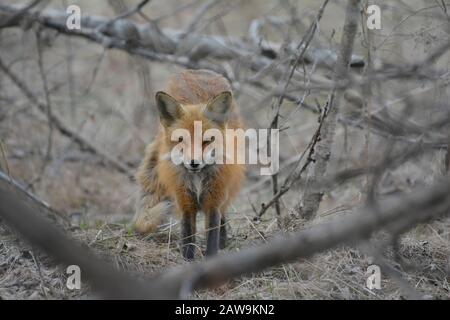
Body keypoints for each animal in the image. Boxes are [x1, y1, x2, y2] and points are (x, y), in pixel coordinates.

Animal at [134, 69, 246, 258]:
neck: (197, 180)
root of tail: (197, 71)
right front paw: (187, 261)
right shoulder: (184, 202)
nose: (194, 163)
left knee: (224, 215)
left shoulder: (214, 202)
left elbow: (212, 237)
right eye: (181, 140)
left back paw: (223, 241)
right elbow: (187, 238)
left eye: (207, 141)